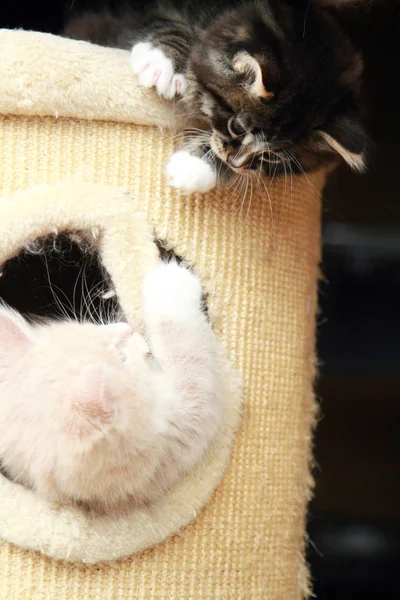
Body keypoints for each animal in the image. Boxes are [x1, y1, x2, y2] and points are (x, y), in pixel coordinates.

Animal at [0, 260, 222, 512]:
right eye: (122, 358)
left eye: (90, 327)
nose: (127, 329)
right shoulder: (180, 429)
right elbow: (187, 351)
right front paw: (170, 281)